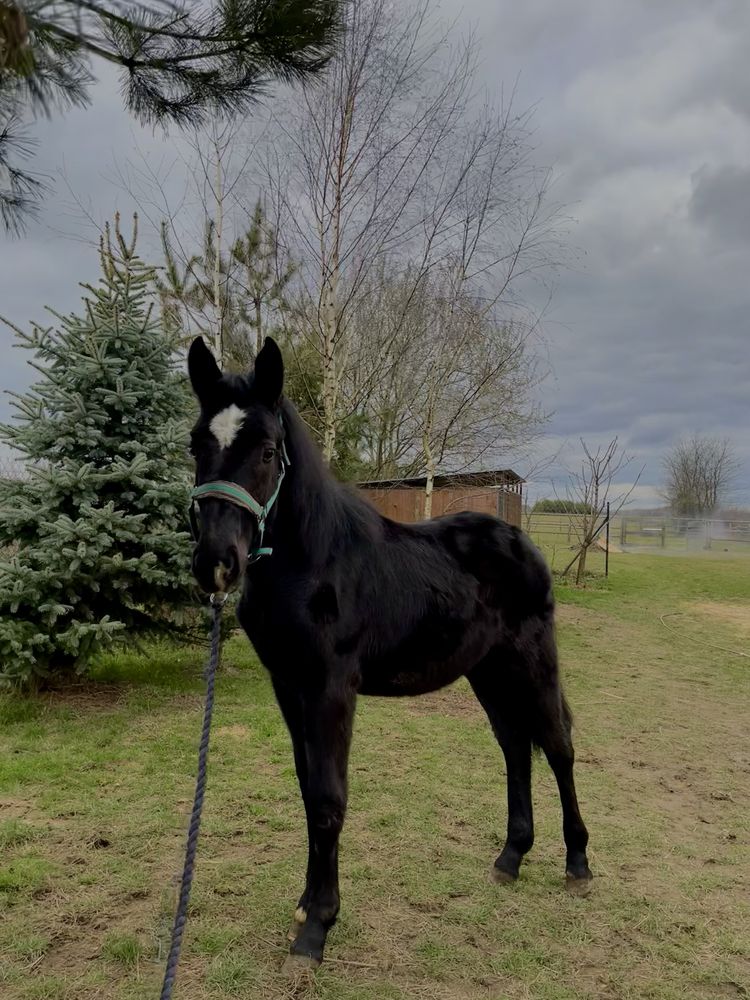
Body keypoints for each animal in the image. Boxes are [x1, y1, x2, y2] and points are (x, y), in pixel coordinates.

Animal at [188, 334, 592, 968]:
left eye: (268, 451)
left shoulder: (331, 688)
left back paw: (577, 865)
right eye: (196, 444)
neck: (313, 562)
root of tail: (519, 538)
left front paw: (316, 930)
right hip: (488, 671)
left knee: (557, 746)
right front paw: (305, 905)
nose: (215, 562)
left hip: (532, 661)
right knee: (514, 746)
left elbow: (329, 798)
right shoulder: (289, 687)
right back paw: (510, 858)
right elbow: (307, 790)